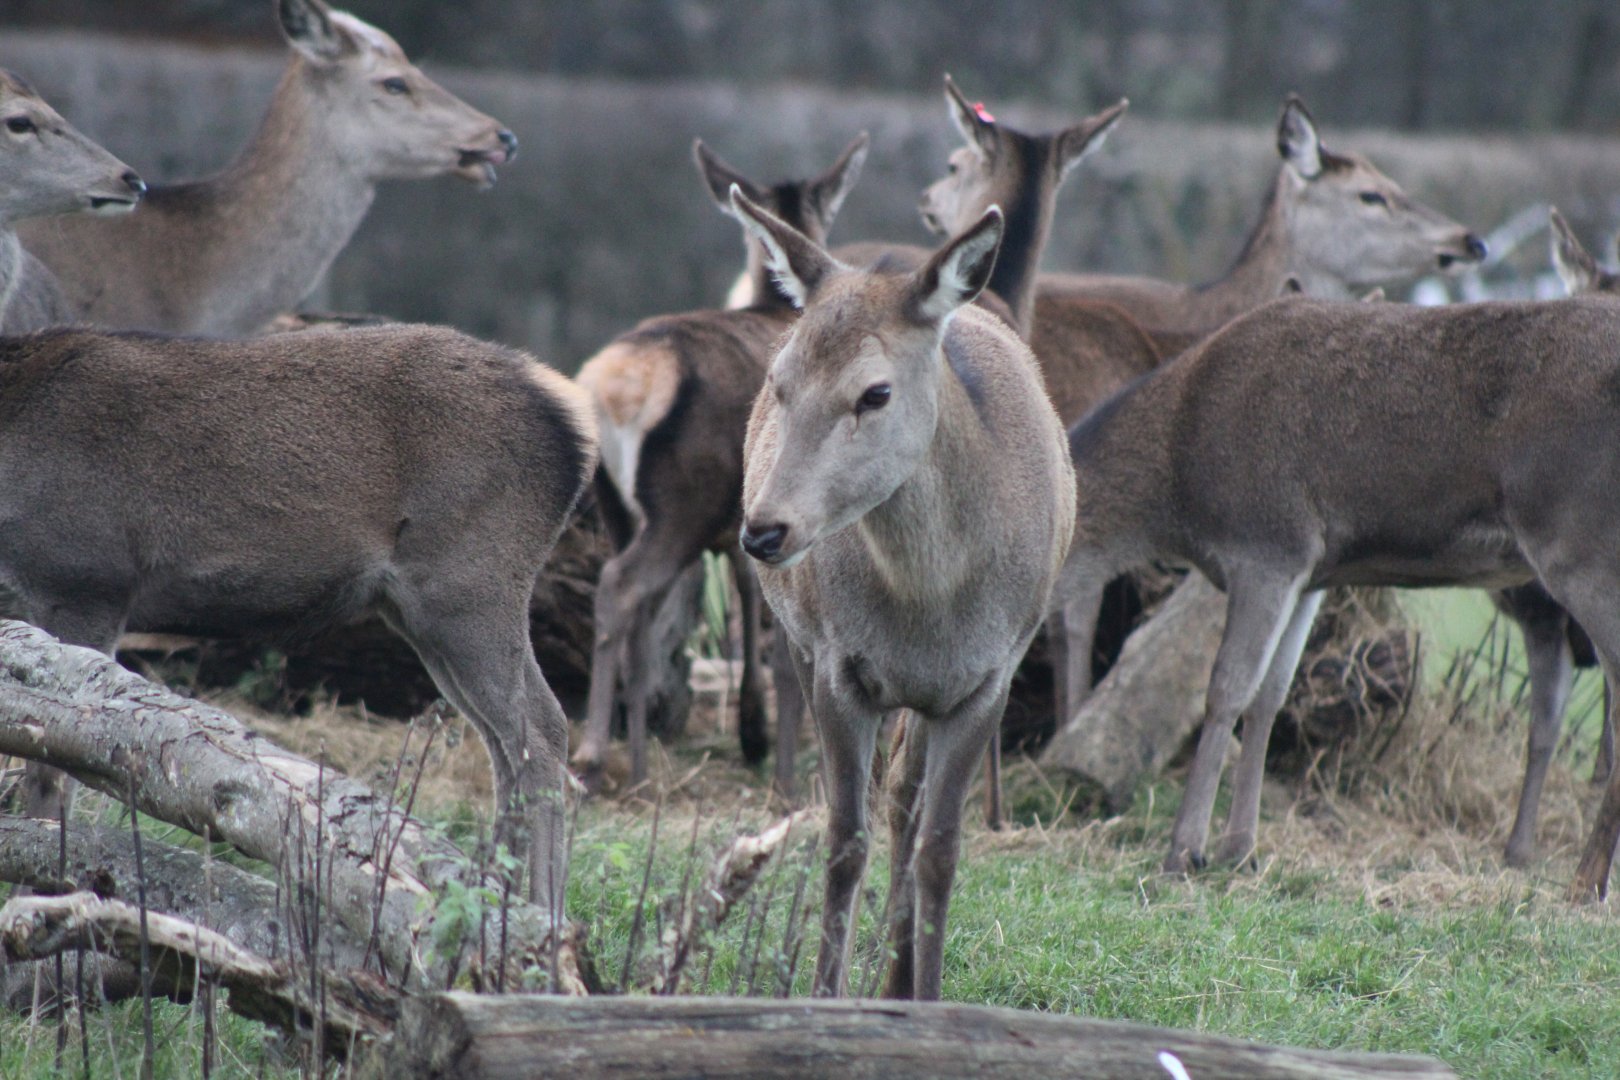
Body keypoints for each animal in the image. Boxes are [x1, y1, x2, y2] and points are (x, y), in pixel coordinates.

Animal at [0, 324, 596, 912]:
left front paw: (34, 893)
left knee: (540, 729)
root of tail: (575, 431)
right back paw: (491, 894)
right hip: (420, 611)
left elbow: (51, 762)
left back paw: (540, 910)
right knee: (506, 742)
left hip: (470, 580)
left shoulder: (84, 579)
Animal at [571, 133, 870, 797]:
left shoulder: (749, 528)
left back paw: (635, 766)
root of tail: (619, 387)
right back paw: (591, 756)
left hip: (619, 505)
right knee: (620, 587)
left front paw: (755, 736)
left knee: (637, 614)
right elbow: (777, 644)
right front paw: (781, 769)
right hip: (684, 501)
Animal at [728, 188, 1075, 1000]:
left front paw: (927, 994)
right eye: (780, 381)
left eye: (875, 392)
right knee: (877, 800)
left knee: (905, 800)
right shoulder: (838, 663)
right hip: (805, 643)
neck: (932, 610)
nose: (764, 528)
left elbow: (941, 848)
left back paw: (897, 977)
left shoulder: (990, 676)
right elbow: (841, 839)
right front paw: (825, 993)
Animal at [1054, 288, 1620, 902]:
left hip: (1577, 541)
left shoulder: (1267, 542)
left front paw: (1184, 851)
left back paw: (1584, 882)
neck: (1178, 488)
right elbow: (1270, 696)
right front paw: (1240, 850)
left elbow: (1226, 689)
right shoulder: (1310, 573)